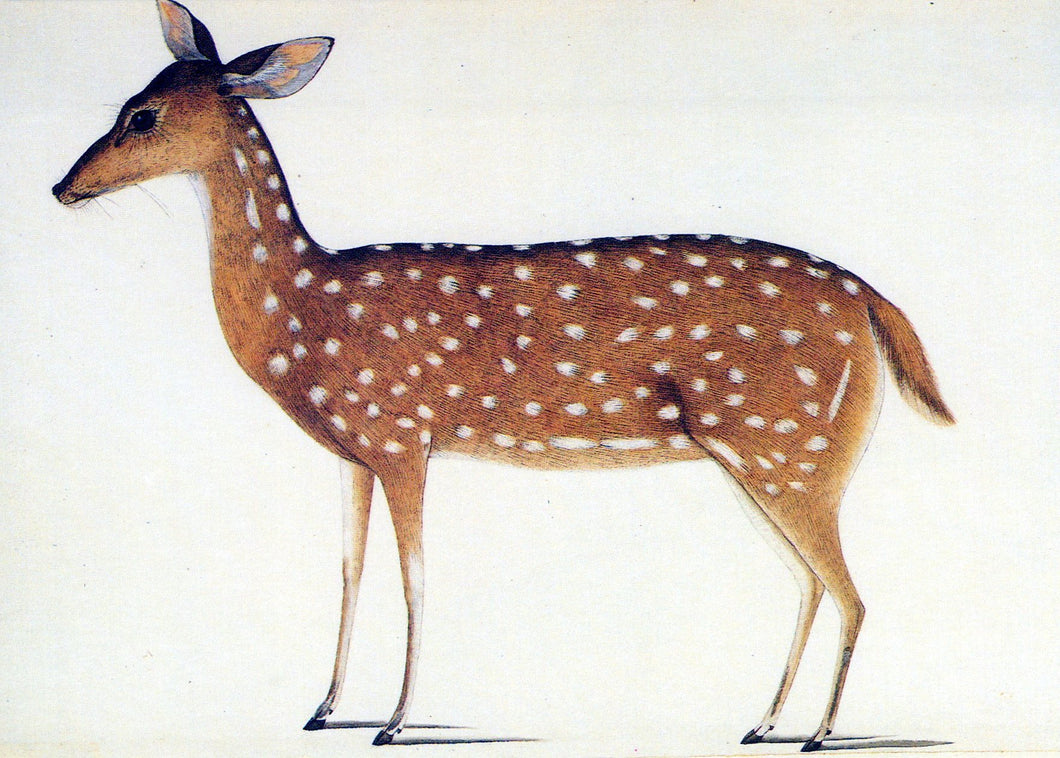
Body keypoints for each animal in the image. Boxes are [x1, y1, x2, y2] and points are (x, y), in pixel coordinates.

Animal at [52, 0, 954, 751]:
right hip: (764, 455)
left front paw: (393, 722)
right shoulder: (353, 453)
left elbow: (415, 576)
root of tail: (871, 300)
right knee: (809, 582)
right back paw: (763, 722)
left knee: (851, 590)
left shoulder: (402, 433)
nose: (62, 186)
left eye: (142, 116)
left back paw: (814, 733)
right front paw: (323, 707)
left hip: (790, 442)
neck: (306, 316)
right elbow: (350, 570)